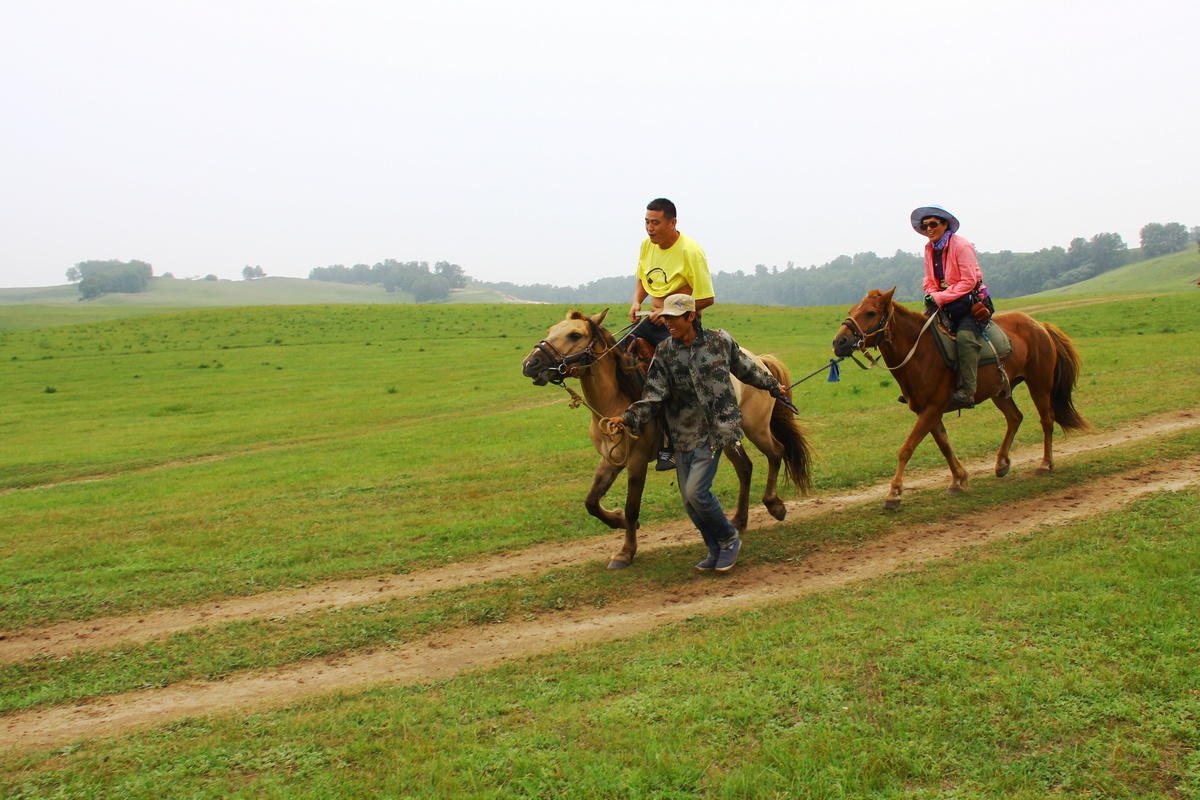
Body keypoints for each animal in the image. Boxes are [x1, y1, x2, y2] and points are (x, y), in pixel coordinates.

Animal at [520, 309, 811, 568]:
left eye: (574, 334)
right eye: (550, 330)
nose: (529, 364)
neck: (615, 400)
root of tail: (759, 360)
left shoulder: (637, 461)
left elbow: (632, 506)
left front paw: (626, 551)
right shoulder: (612, 459)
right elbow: (591, 501)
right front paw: (618, 520)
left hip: (756, 428)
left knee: (776, 451)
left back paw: (774, 505)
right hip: (728, 438)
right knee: (745, 468)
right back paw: (739, 520)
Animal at [830, 289, 1094, 513]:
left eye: (870, 313)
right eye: (852, 310)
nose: (839, 342)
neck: (920, 353)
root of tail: (1040, 326)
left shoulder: (932, 409)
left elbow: (906, 449)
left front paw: (894, 494)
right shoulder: (928, 412)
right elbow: (945, 446)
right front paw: (959, 480)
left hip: (1039, 384)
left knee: (1047, 420)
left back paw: (1045, 464)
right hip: (1000, 391)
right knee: (1015, 418)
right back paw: (1001, 463)